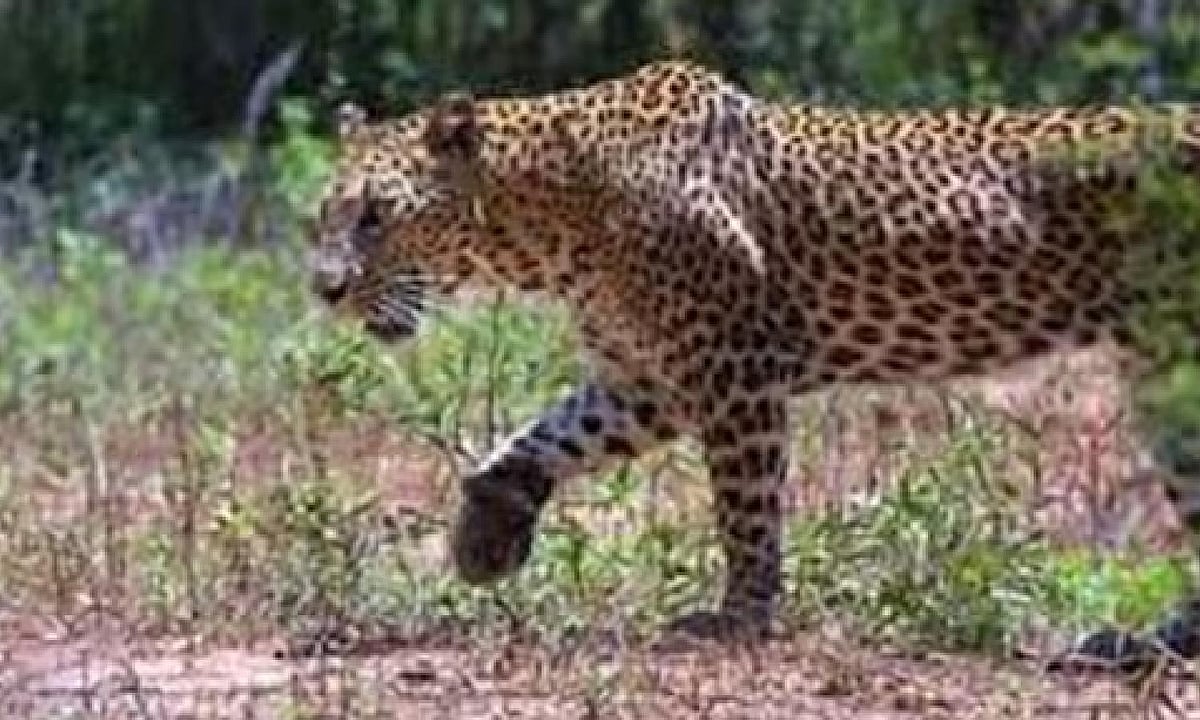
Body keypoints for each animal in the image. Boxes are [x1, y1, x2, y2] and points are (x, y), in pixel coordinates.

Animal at [308, 60, 1200, 667]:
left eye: (377, 216)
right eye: (324, 213)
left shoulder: (733, 369)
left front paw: (738, 618)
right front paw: (487, 535)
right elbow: (543, 437)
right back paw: (1150, 642)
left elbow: (745, 510)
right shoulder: (648, 380)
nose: (324, 290)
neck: (551, 221)